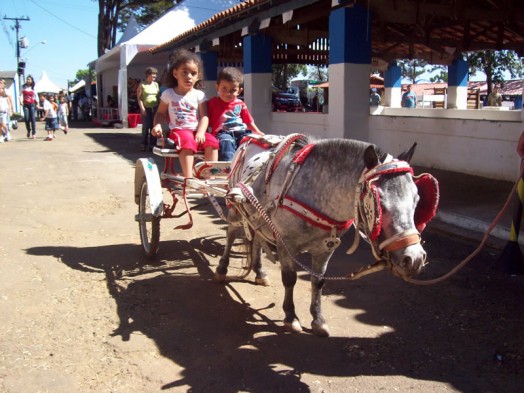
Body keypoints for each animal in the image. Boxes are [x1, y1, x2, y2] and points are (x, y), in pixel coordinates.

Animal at [214, 133, 438, 336]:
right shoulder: (286, 243)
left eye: (417, 198)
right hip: (234, 207)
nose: (414, 259)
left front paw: (318, 320)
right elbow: (290, 278)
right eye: (378, 202)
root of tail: (248, 138)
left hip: (258, 216)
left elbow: (318, 281)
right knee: (231, 233)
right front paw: (290, 317)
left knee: (257, 239)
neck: (315, 189)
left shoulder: (326, 247)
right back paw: (222, 270)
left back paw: (260, 272)